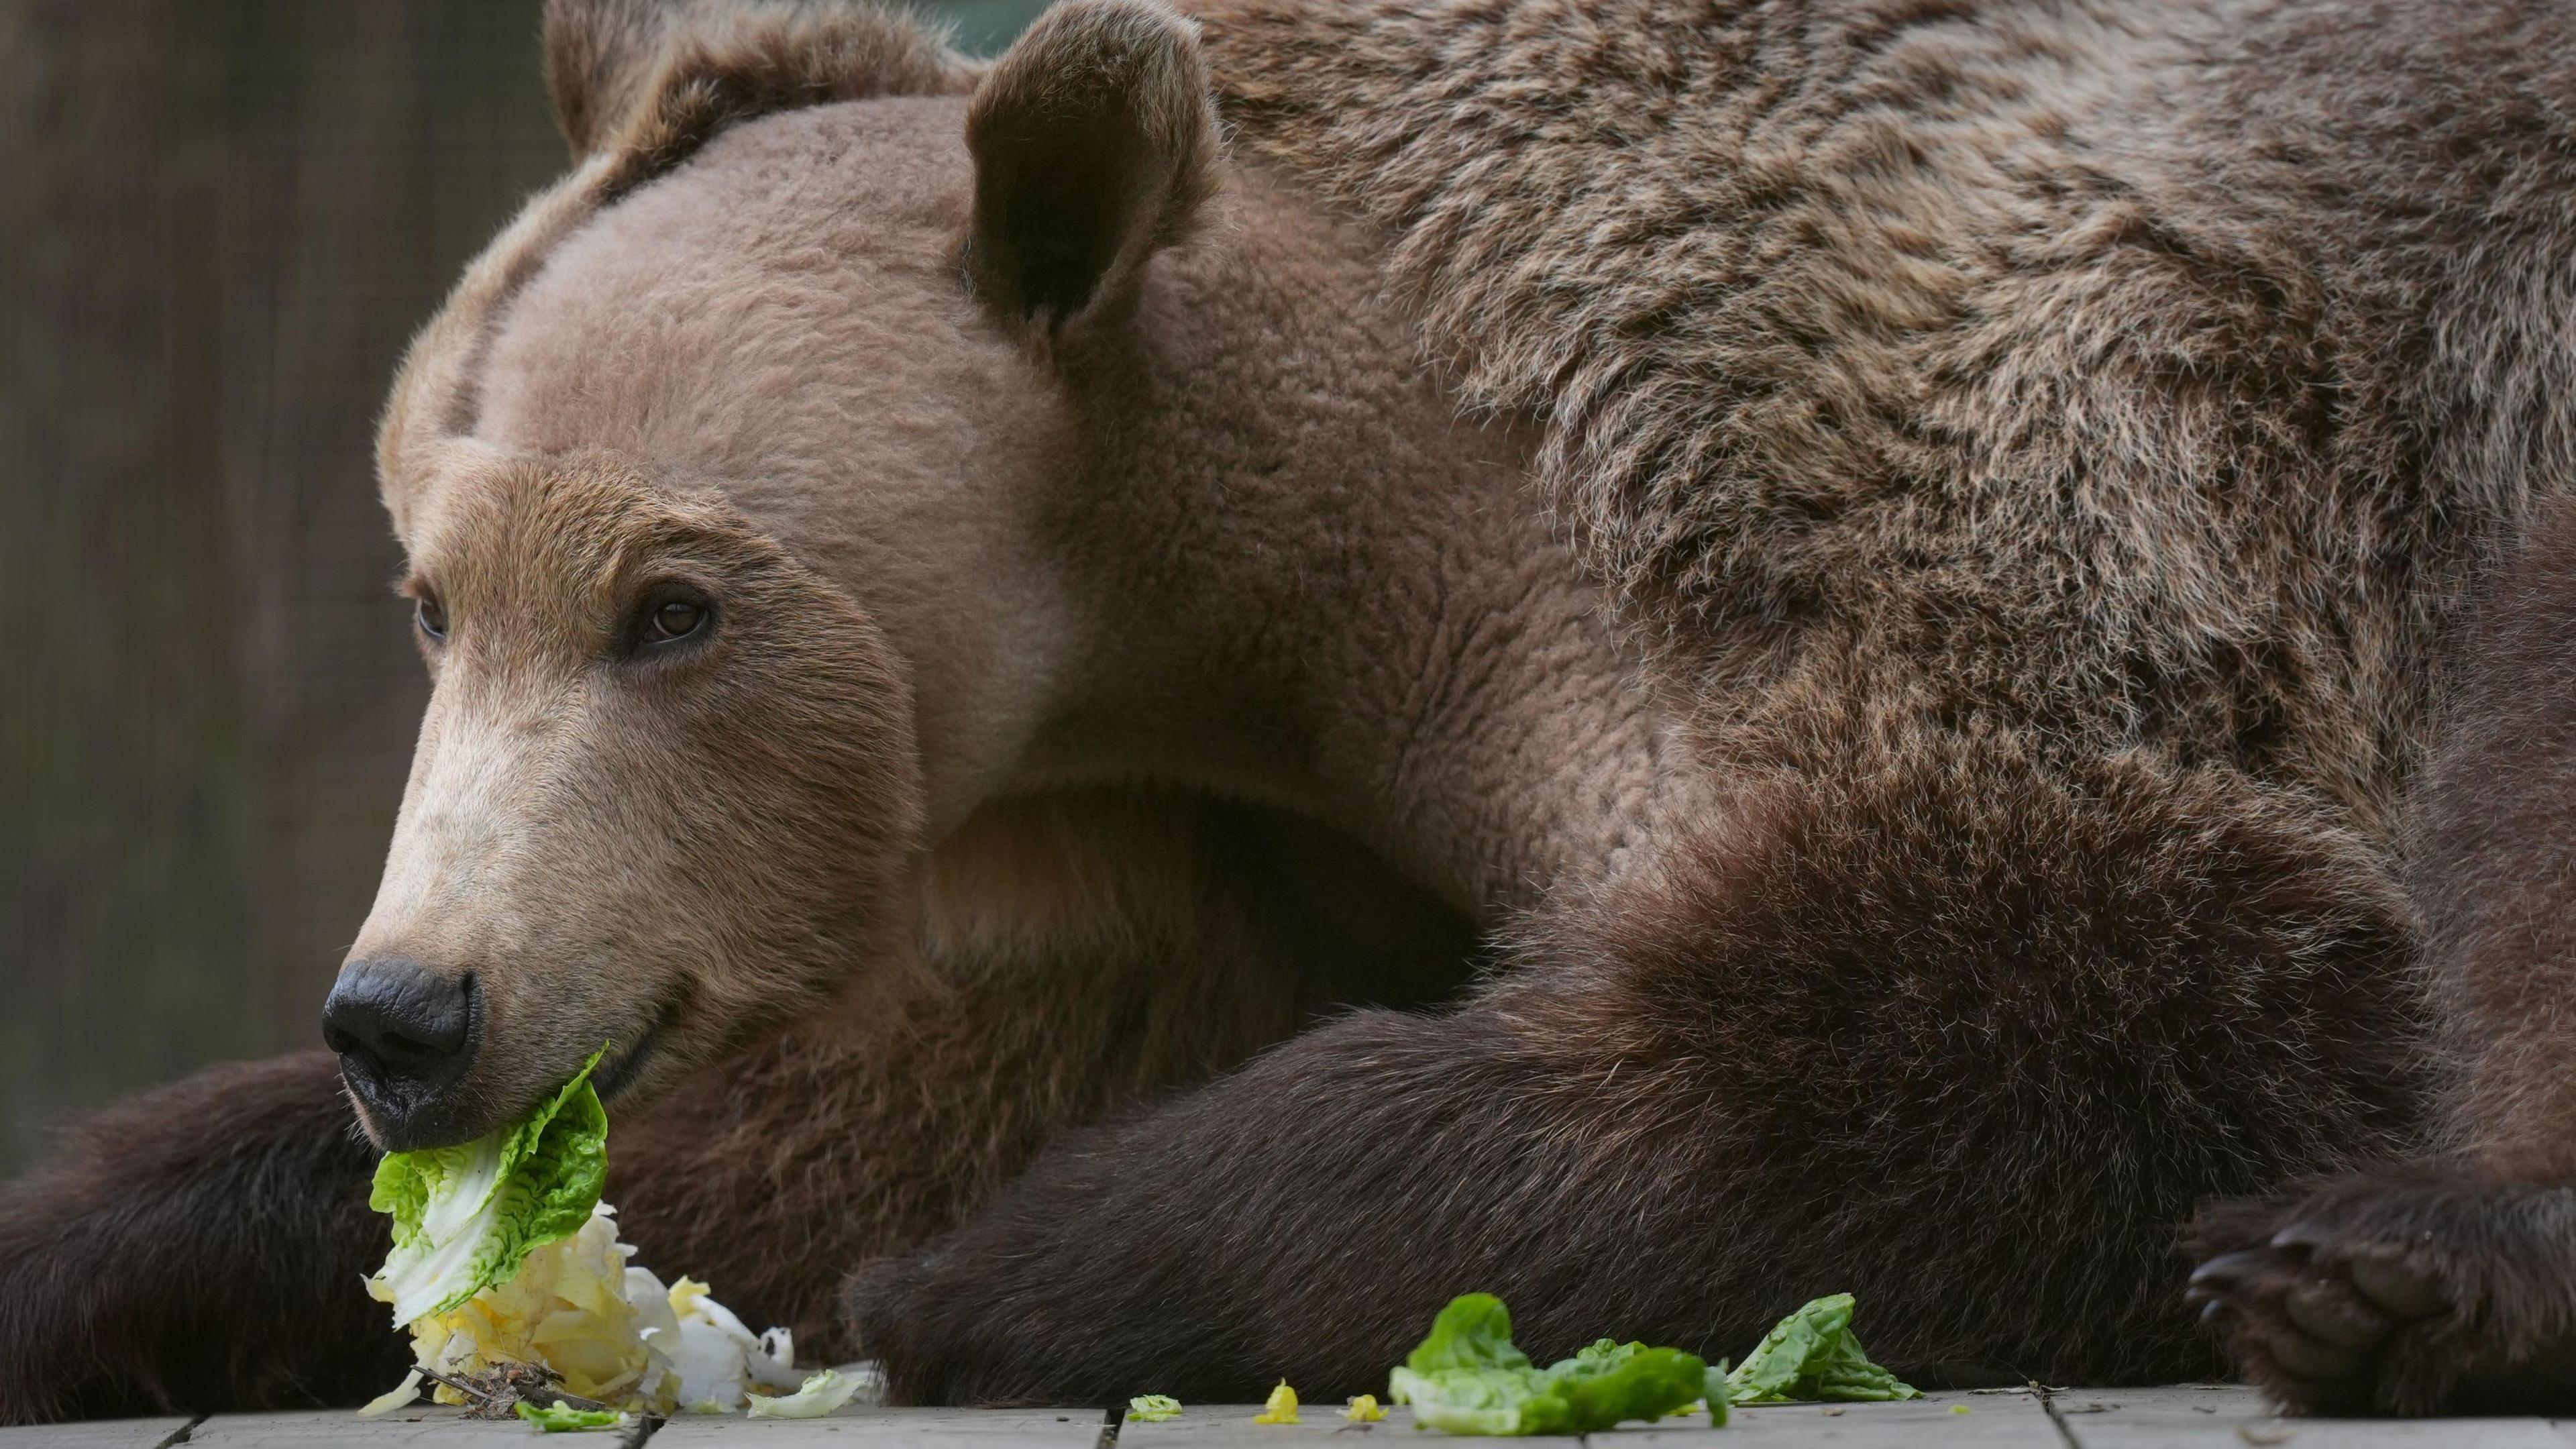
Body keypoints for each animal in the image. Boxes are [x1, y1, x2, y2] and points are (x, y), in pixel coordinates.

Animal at [5, 0, 2576, 1423]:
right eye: (430, 600)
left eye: (674, 608)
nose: (406, 1013)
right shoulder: (1206, 860)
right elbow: (864, 1103)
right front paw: (108, 1240)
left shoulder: (1983, 525)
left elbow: (2047, 994)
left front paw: (1034, 1262)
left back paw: (2402, 1270)